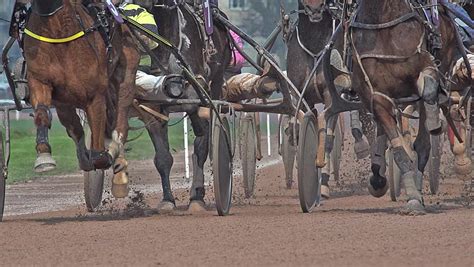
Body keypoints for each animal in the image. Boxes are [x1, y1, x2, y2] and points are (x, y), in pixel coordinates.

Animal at [23, 0, 138, 196]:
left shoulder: (95, 95)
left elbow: (99, 153)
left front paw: (104, 156)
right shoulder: (41, 81)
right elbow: (43, 115)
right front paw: (44, 156)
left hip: (126, 72)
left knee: (121, 120)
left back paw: (116, 161)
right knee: (76, 128)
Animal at [346, 0, 472, 214]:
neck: (384, 26)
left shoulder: (426, 64)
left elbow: (429, 88)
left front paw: (435, 119)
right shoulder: (376, 96)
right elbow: (398, 150)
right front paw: (412, 198)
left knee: (423, 142)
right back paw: (378, 177)